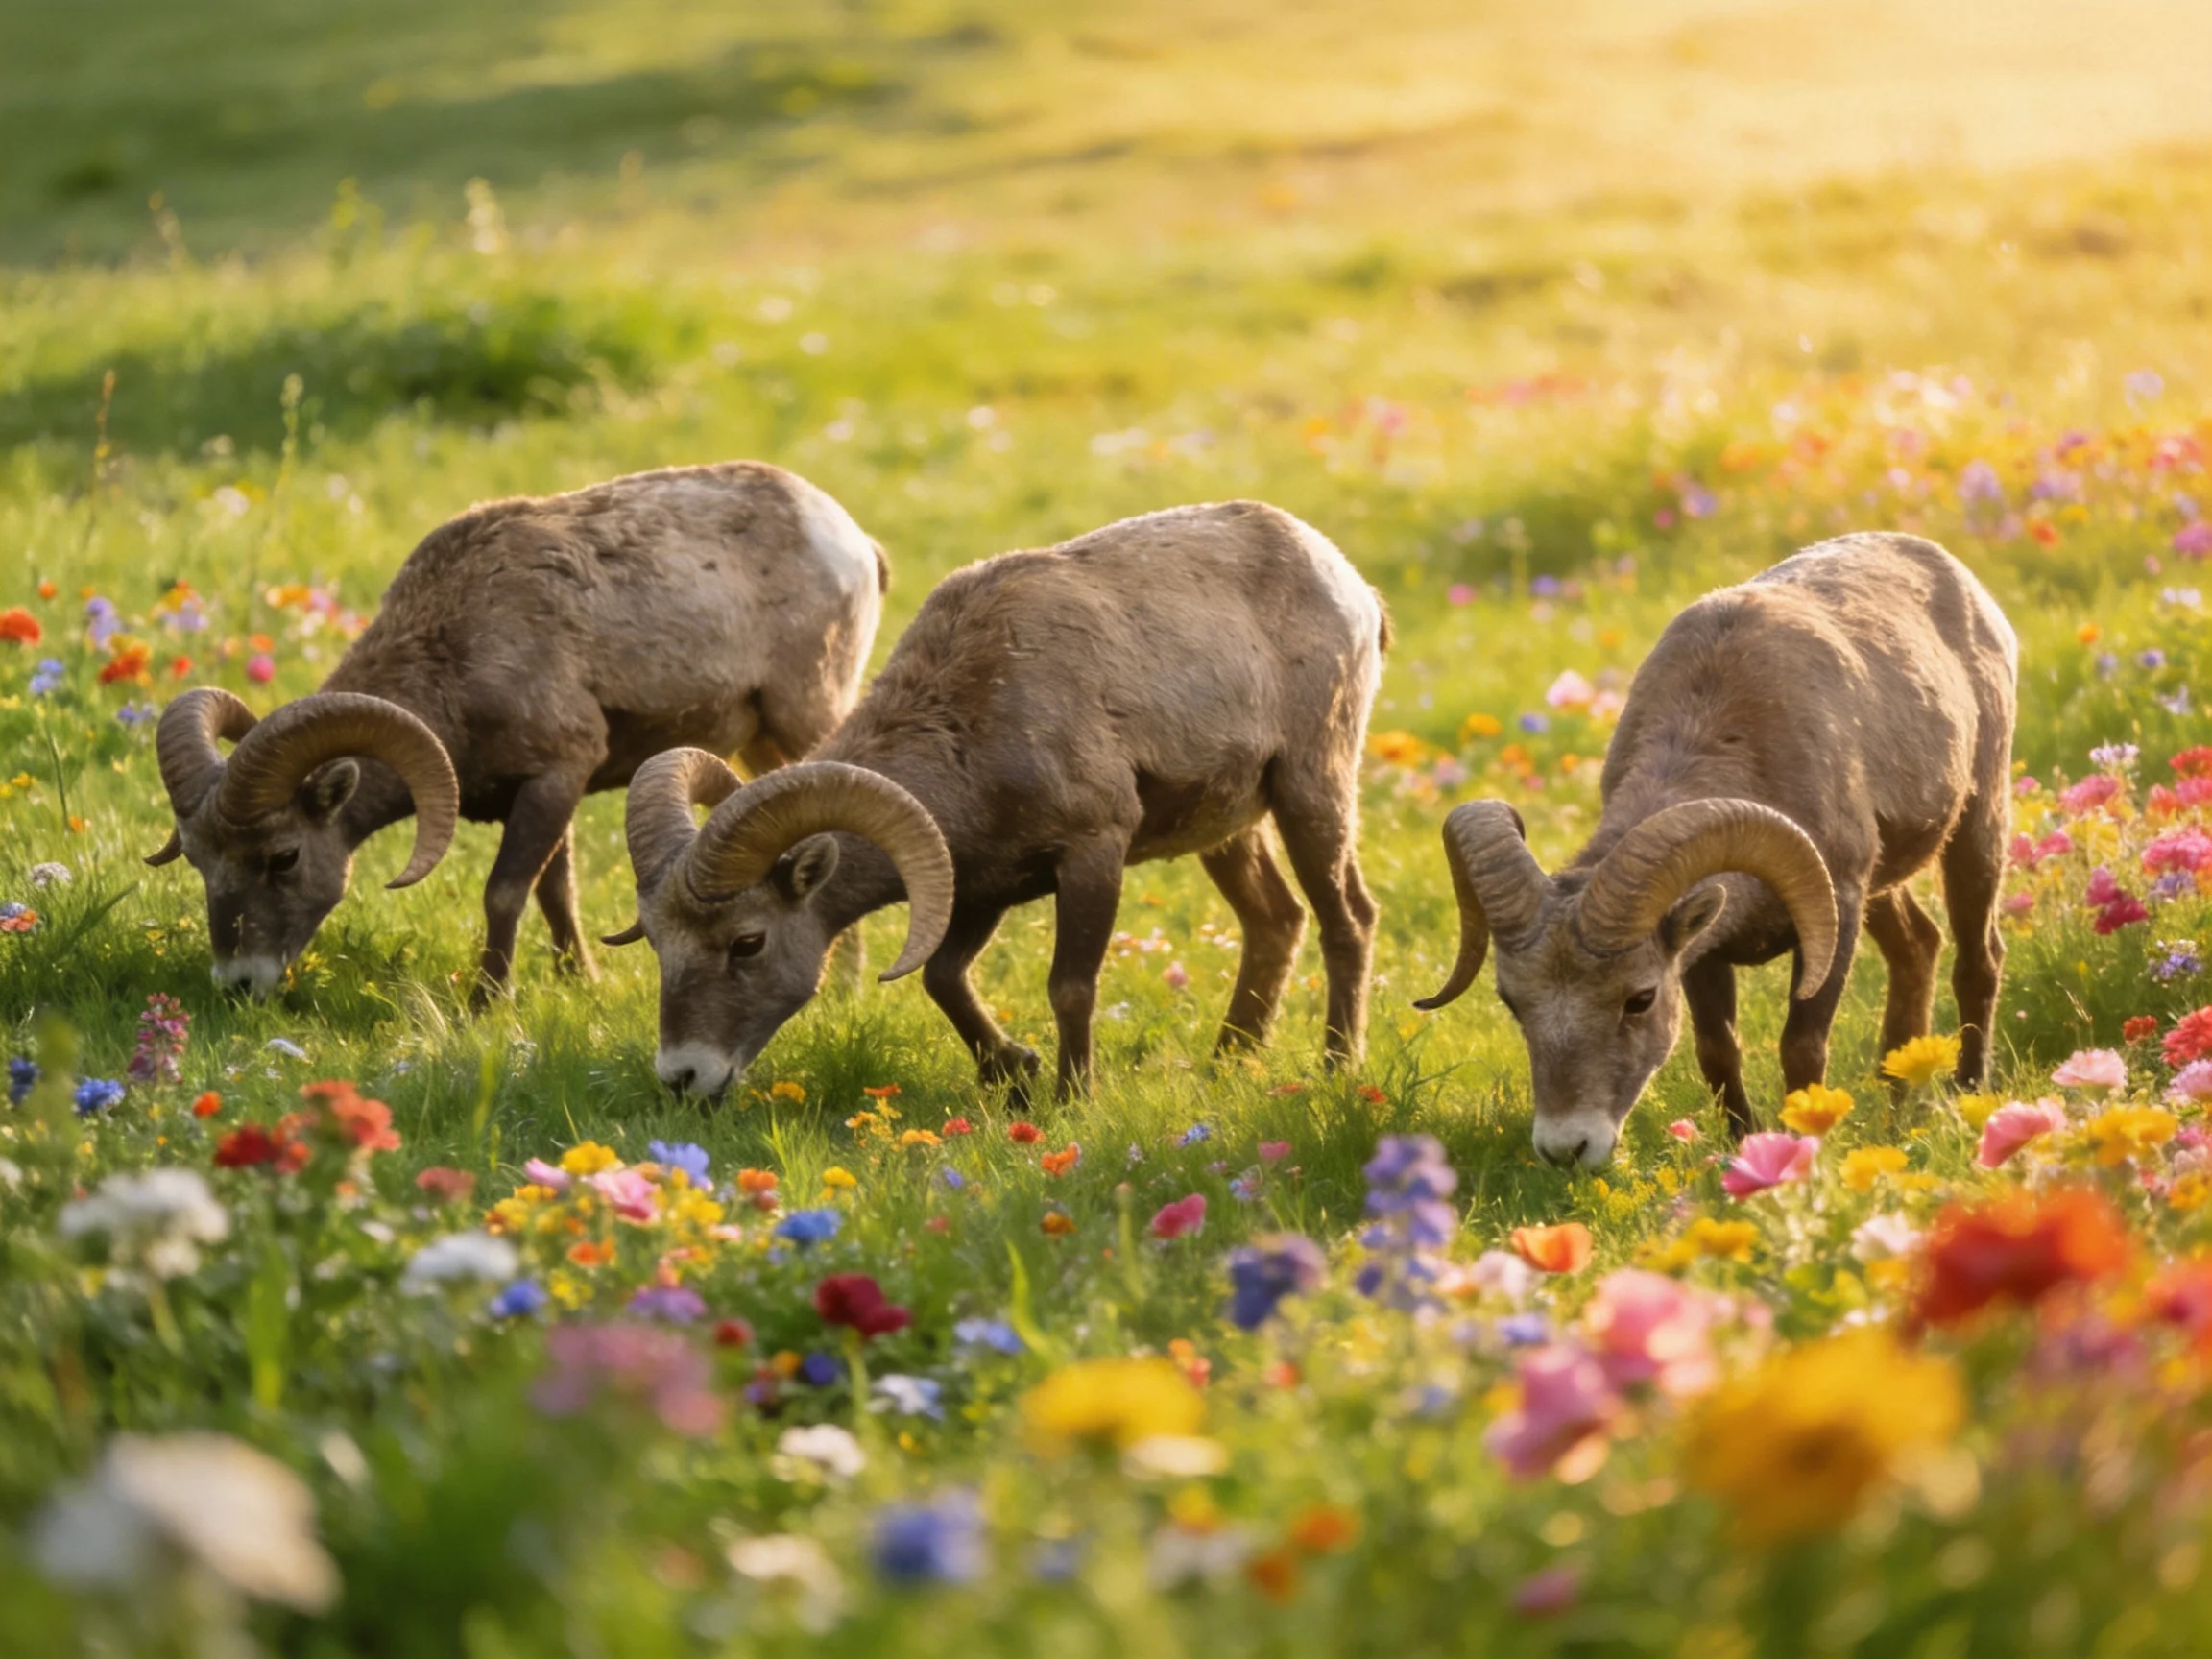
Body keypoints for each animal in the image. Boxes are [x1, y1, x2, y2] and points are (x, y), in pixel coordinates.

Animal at [147, 462, 887, 999]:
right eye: (198, 861)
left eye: (284, 857)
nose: (239, 985)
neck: (456, 646)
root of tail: (854, 542)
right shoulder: (545, 795)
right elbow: (555, 891)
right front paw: (576, 980)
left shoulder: (553, 777)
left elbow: (506, 893)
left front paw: (488, 1003)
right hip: (763, 744)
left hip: (807, 717)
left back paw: (846, 986)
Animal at [609, 499, 1389, 1102]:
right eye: (656, 942)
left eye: (748, 941)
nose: (683, 1078)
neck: (971, 722)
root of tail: (1349, 583)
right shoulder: (982, 887)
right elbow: (943, 979)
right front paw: (1013, 1071)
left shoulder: (1091, 853)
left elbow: (1070, 987)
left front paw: (1072, 1099)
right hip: (1229, 832)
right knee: (1275, 921)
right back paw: (1226, 1062)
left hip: (1311, 791)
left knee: (1346, 919)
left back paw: (1334, 1066)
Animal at [1415, 532, 2017, 1168]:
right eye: (1511, 1001)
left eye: (1640, 998)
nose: (1567, 1149)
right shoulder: (1704, 953)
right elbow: (1717, 1052)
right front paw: (1745, 1151)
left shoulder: (1838, 910)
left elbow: (1801, 1048)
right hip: (1890, 883)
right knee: (1918, 947)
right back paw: (1900, 1105)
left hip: (1977, 829)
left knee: (1978, 959)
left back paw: (1968, 1094)